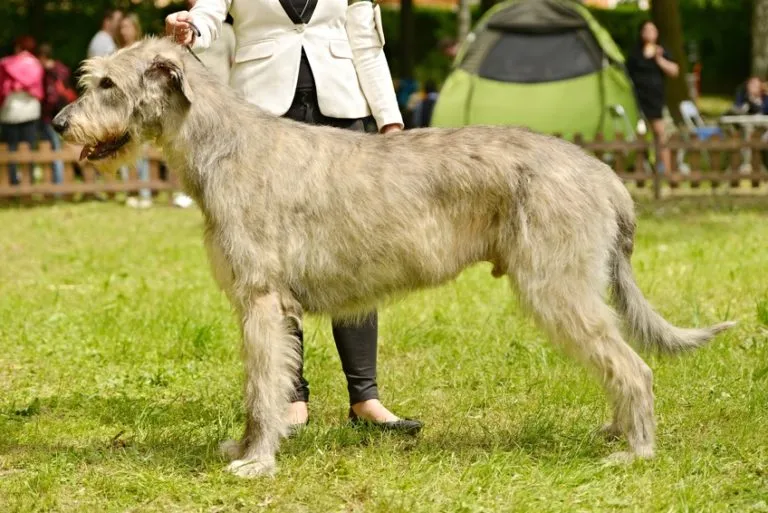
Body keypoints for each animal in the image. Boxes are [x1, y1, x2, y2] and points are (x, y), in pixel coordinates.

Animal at [51, 39, 736, 476]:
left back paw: (635, 452)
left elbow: (263, 386)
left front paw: (258, 461)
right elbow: (260, 385)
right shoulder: (261, 306)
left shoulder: (262, 301)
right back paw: (618, 432)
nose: (59, 123)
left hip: (557, 286)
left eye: (107, 83)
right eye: (91, 78)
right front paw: (244, 448)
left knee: (632, 366)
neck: (223, 145)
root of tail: (604, 172)